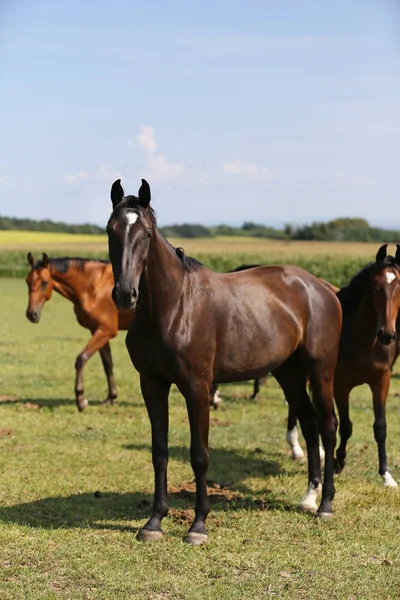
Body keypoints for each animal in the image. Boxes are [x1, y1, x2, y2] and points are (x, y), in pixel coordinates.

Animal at [26, 253, 133, 412]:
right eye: (27, 281)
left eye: (44, 282)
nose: (31, 314)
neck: (95, 285)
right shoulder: (98, 331)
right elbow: (108, 364)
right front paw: (110, 397)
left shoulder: (106, 331)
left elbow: (81, 359)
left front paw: (80, 399)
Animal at [105, 177, 340, 544]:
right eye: (110, 230)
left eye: (146, 233)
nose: (125, 294)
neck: (175, 306)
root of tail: (323, 287)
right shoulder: (152, 384)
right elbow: (159, 452)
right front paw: (154, 522)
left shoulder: (198, 388)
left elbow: (199, 455)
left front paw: (198, 525)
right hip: (288, 374)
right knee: (310, 423)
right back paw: (309, 497)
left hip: (321, 371)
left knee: (328, 428)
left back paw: (325, 504)